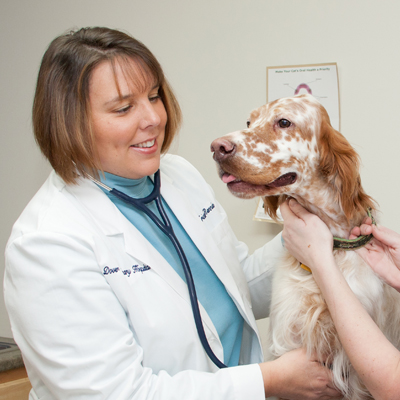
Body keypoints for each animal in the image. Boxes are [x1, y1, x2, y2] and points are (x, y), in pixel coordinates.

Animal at [211, 94, 400, 400]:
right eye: (249, 122)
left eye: (284, 122)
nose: (217, 147)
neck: (332, 251)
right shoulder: (288, 340)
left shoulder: (358, 374)